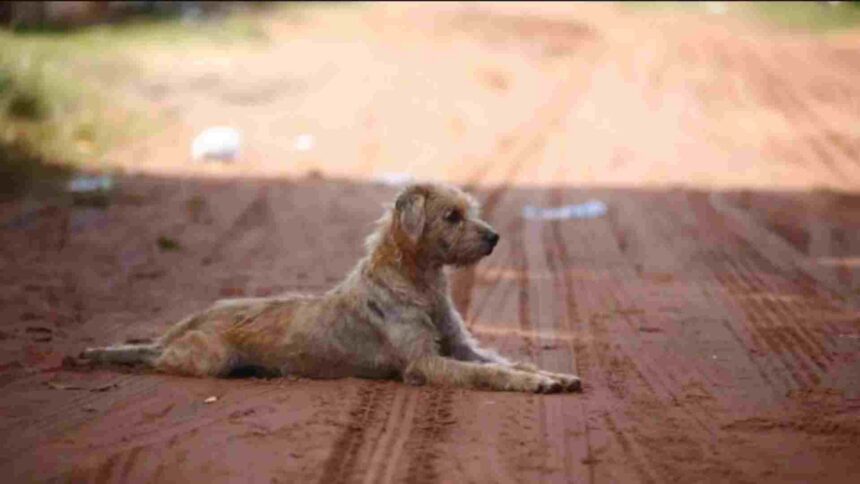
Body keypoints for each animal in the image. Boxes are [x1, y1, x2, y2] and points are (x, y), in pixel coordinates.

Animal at [82, 182, 584, 394]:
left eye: (470, 211)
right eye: (451, 216)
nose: (495, 237)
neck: (419, 282)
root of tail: (193, 318)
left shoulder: (461, 348)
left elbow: (506, 361)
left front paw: (548, 375)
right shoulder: (426, 363)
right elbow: (492, 373)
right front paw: (533, 383)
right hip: (209, 358)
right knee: (157, 360)